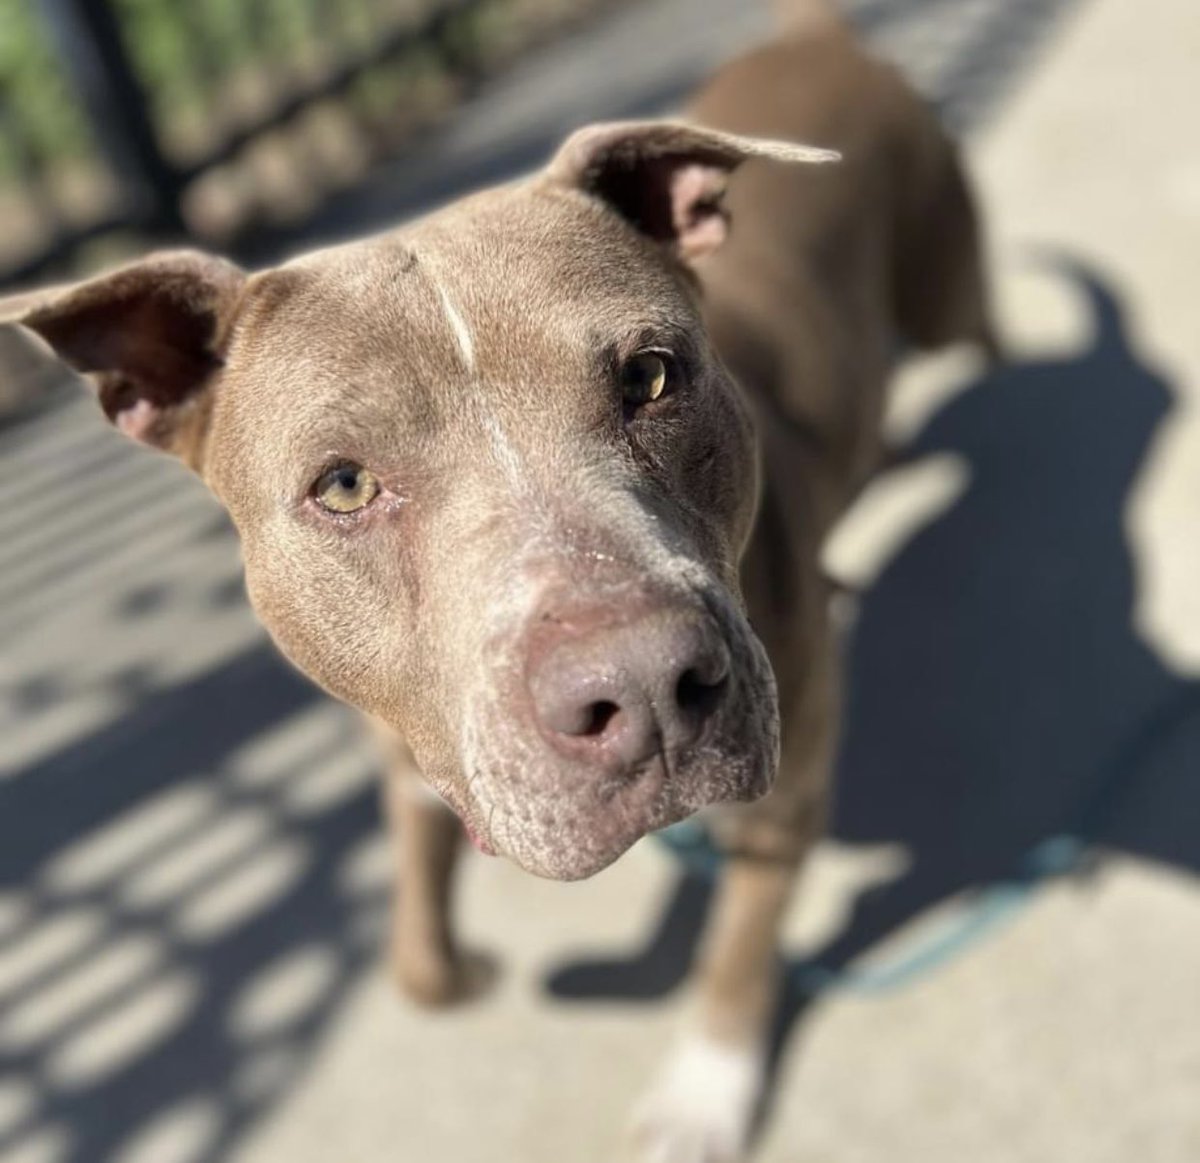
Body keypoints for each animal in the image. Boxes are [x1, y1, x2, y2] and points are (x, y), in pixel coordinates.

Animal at [2, 4, 993, 1156]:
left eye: (651, 375)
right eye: (344, 484)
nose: (647, 685)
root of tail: (817, 40)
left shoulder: (786, 798)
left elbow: (737, 953)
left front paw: (705, 1090)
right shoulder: (403, 746)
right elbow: (419, 961)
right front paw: (461, 968)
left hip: (944, 287)